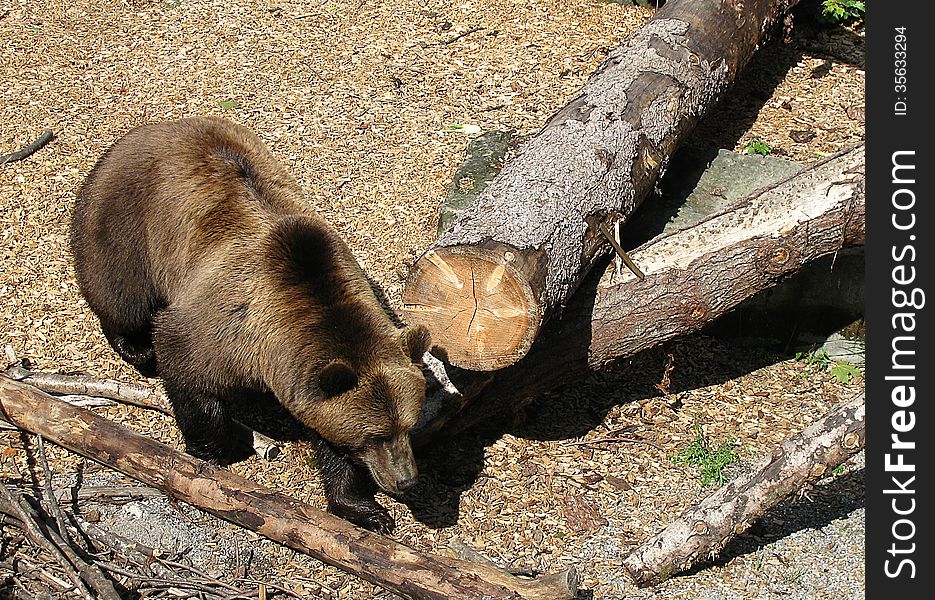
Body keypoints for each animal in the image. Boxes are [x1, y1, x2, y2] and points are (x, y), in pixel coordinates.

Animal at [71, 115, 434, 532]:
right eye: (374, 436)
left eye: (408, 425)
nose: (406, 481)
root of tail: (153, 127)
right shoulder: (227, 329)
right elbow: (185, 366)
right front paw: (213, 449)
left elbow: (327, 438)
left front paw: (365, 509)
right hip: (127, 217)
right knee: (119, 291)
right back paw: (134, 346)